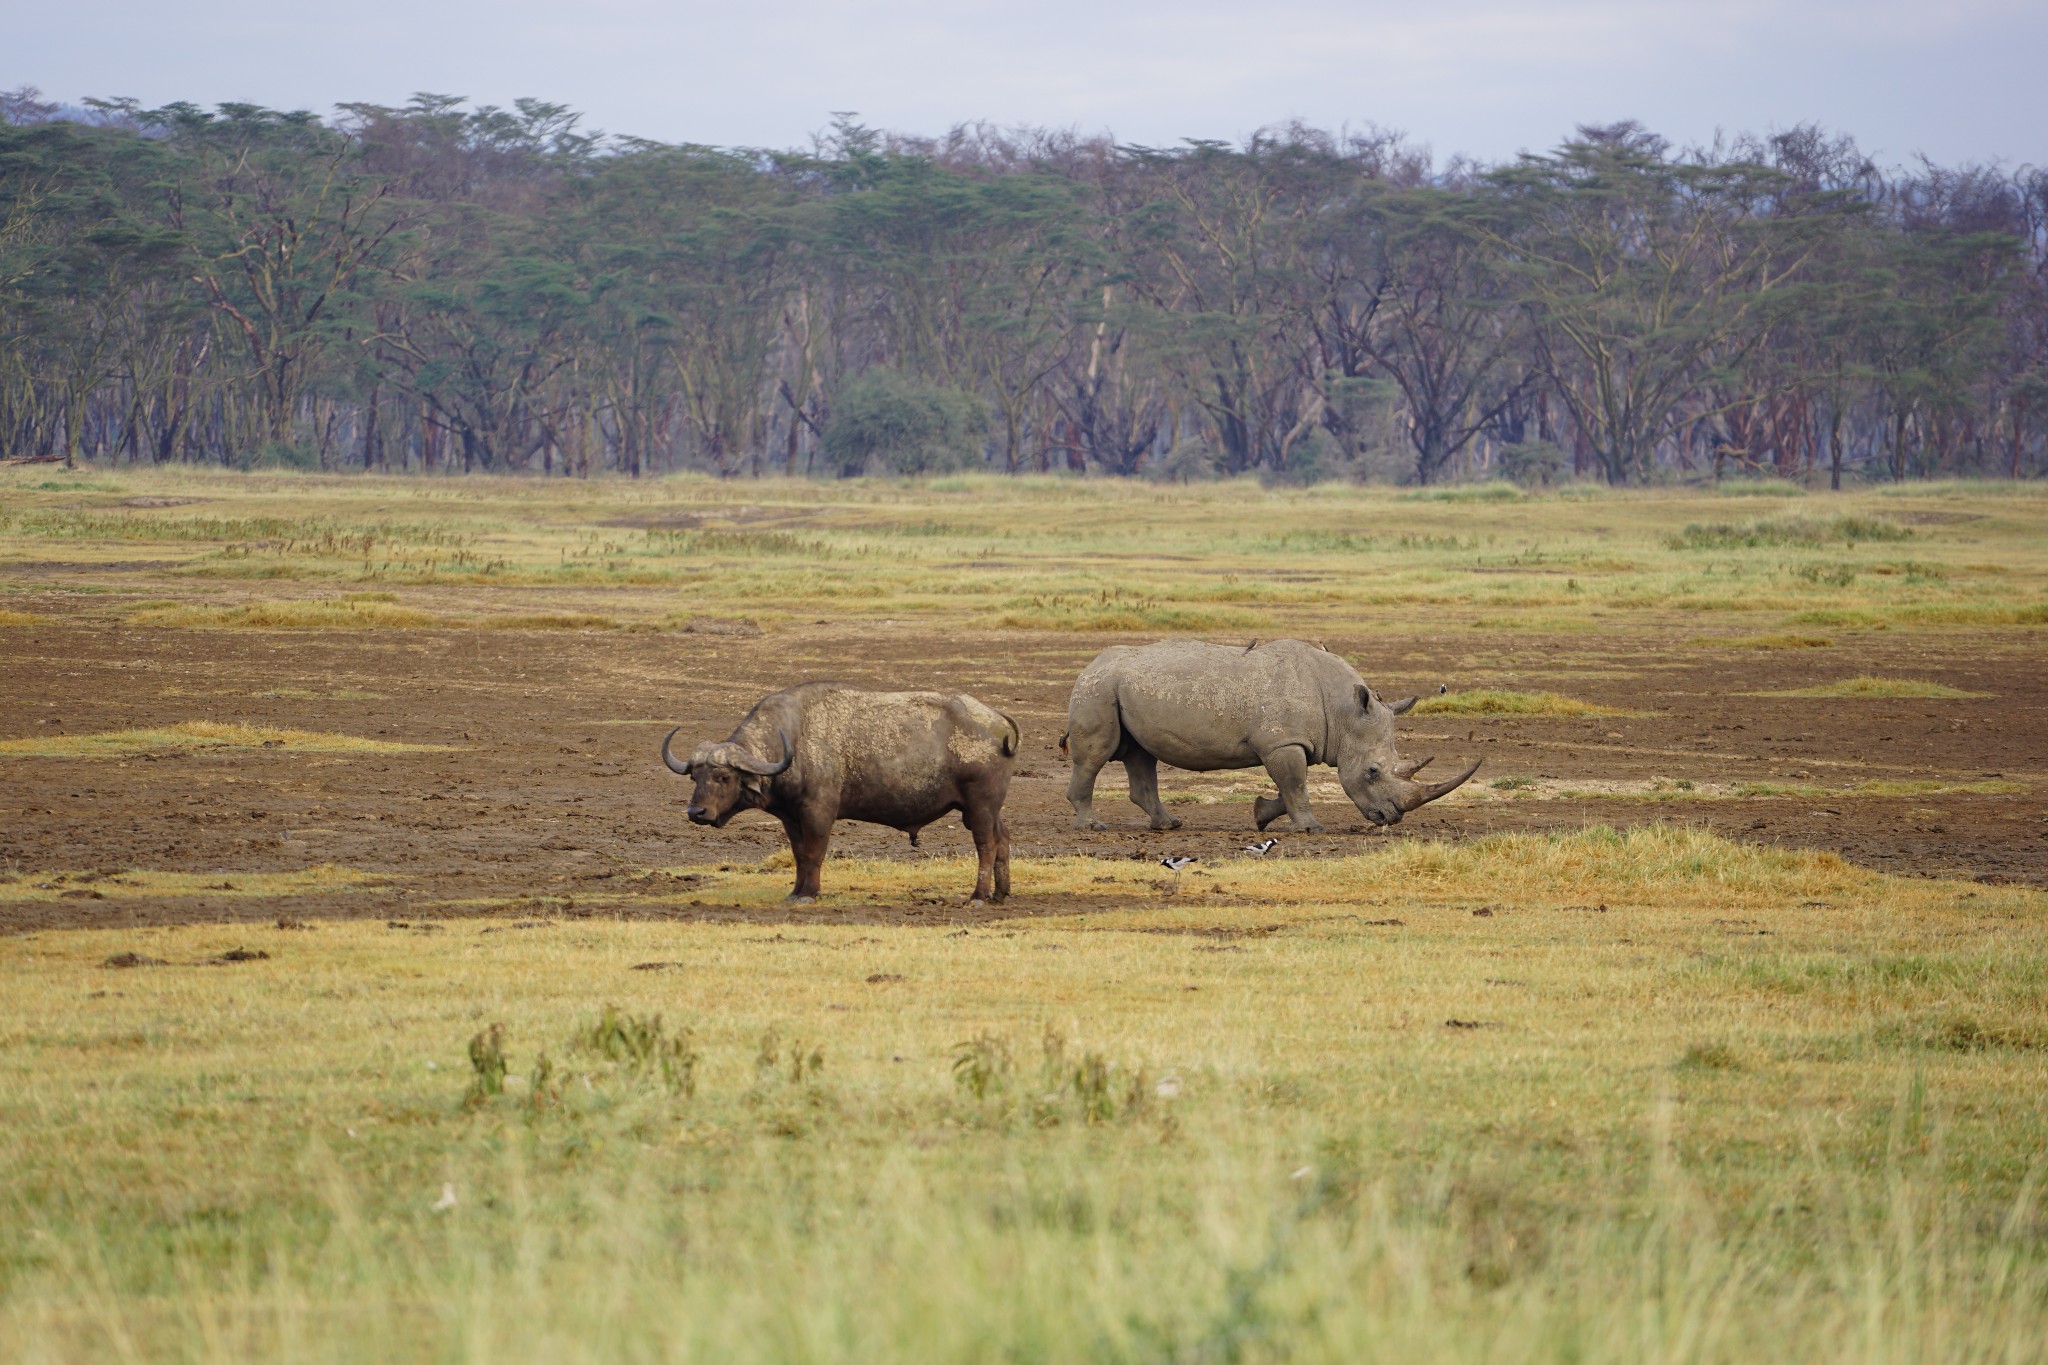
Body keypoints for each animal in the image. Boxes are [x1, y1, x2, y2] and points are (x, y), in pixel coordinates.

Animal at [663, 687, 1015, 900]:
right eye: (695, 776)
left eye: (723, 776)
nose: (696, 813)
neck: (793, 740)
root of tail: (997, 720)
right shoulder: (791, 817)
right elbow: (799, 854)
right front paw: (796, 892)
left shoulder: (819, 811)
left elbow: (815, 851)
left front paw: (810, 894)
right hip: (984, 809)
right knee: (1003, 838)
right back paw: (1001, 893)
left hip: (980, 806)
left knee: (986, 844)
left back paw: (978, 896)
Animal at [1064, 638, 1482, 834]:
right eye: (1373, 772)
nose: (1390, 818)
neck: (1344, 712)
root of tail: (1092, 663)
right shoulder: (1283, 741)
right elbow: (1296, 784)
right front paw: (1312, 829)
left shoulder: (1290, 743)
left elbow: (1288, 787)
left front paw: (1261, 815)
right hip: (1098, 687)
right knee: (1097, 755)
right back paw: (1092, 826)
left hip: (1120, 687)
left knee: (1140, 755)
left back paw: (1169, 824)